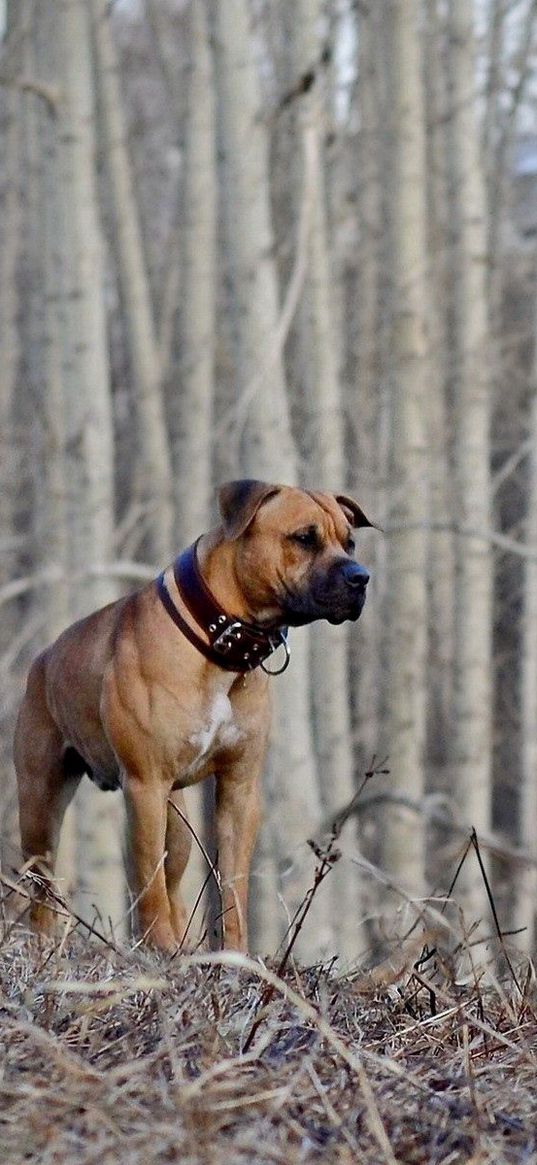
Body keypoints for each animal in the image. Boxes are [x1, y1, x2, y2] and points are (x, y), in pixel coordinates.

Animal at [14, 477, 370, 950]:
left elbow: (232, 885)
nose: (360, 576)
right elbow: (148, 884)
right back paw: (46, 946)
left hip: (176, 822)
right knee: (44, 887)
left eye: (350, 543)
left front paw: (234, 954)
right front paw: (158, 950)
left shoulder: (239, 789)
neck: (219, 641)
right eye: (304, 538)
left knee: (174, 883)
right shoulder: (145, 785)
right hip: (41, 804)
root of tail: (43, 658)